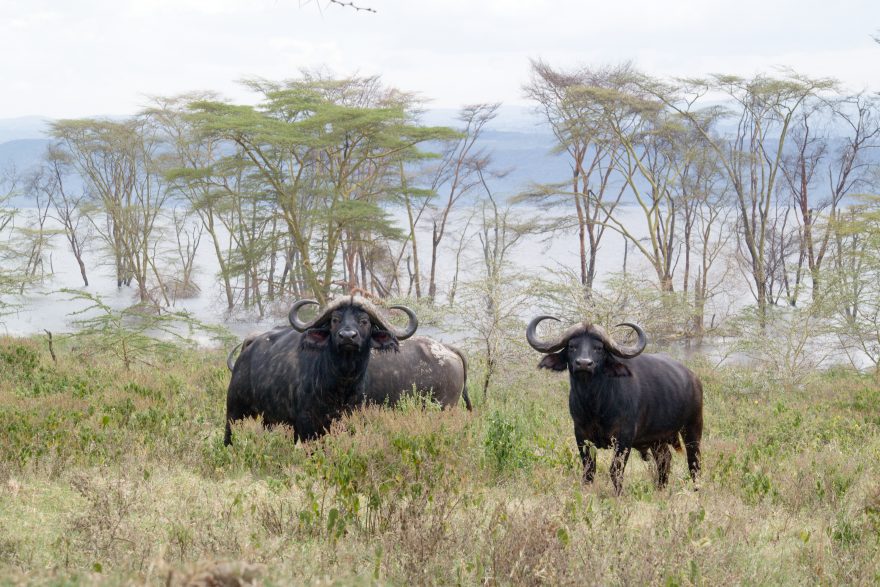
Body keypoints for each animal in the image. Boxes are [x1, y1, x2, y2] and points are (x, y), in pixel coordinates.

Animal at [227, 298, 420, 446]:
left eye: (364, 321)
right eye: (335, 320)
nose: (347, 336)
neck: (340, 385)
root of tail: (244, 355)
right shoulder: (306, 424)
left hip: (269, 419)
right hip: (235, 412)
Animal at [524, 316, 704, 496]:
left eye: (598, 348)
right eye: (572, 346)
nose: (584, 363)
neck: (595, 404)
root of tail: (693, 378)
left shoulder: (623, 438)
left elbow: (615, 470)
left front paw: (618, 495)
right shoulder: (581, 435)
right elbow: (589, 470)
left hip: (693, 428)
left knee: (694, 462)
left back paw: (696, 489)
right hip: (657, 439)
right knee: (664, 460)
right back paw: (660, 489)